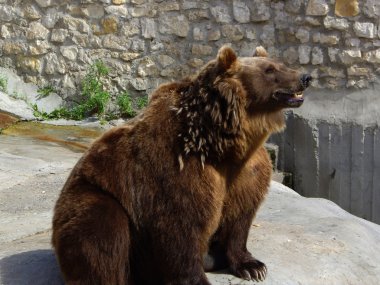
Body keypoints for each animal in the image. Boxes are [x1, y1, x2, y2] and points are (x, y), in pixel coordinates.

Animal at [51, 46, 312, 284]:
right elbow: (180, 226)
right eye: (269, 70)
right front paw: (197, 278)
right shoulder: (178, 168)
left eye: (279, 63)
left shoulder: (248, 171)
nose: (305, 78)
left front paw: (253, 266)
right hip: (94, 195)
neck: (221, 143)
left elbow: (240, 216)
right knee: (102, 229)